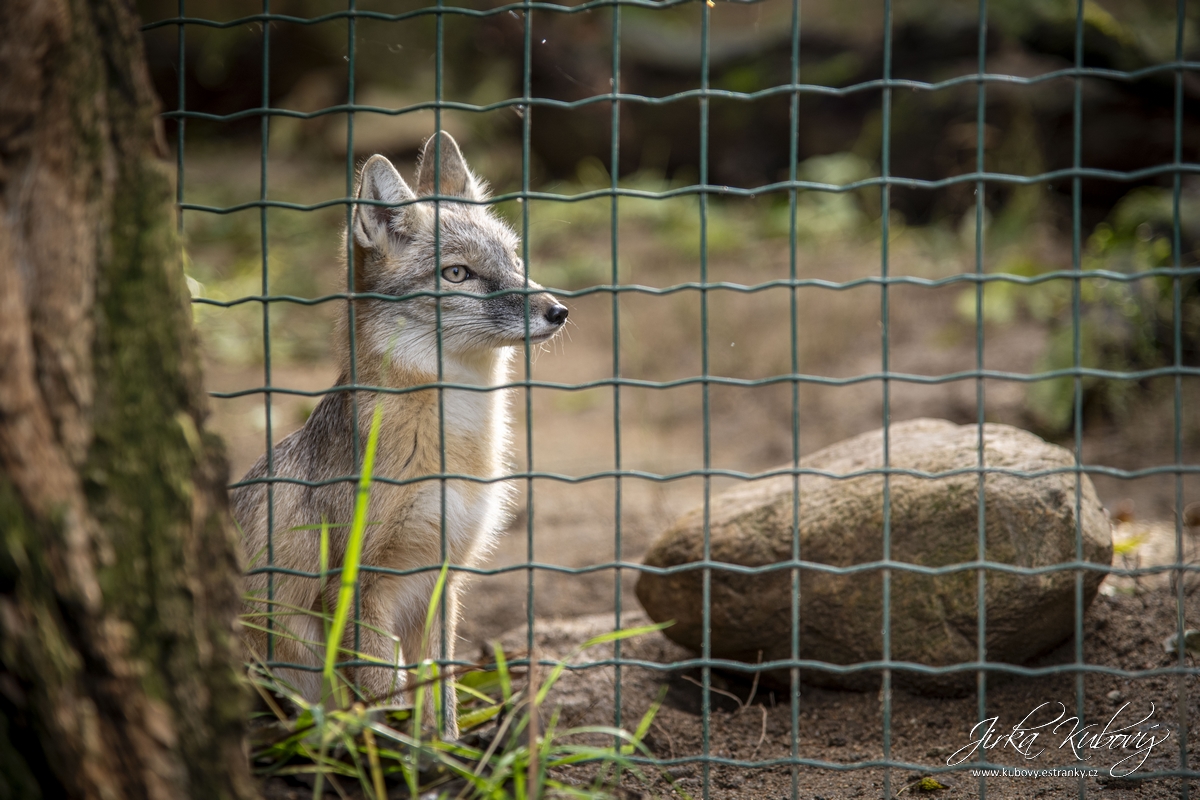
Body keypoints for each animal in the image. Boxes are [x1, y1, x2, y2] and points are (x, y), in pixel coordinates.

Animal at [235, 133, 571, 738]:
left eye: (515, 261)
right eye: (458, 274)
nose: (557, 310)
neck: (451, 447)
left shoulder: (441, 580)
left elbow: (441, 697)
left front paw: (446, 752)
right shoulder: (359, 587)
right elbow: (381, 701)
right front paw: (387, 751)